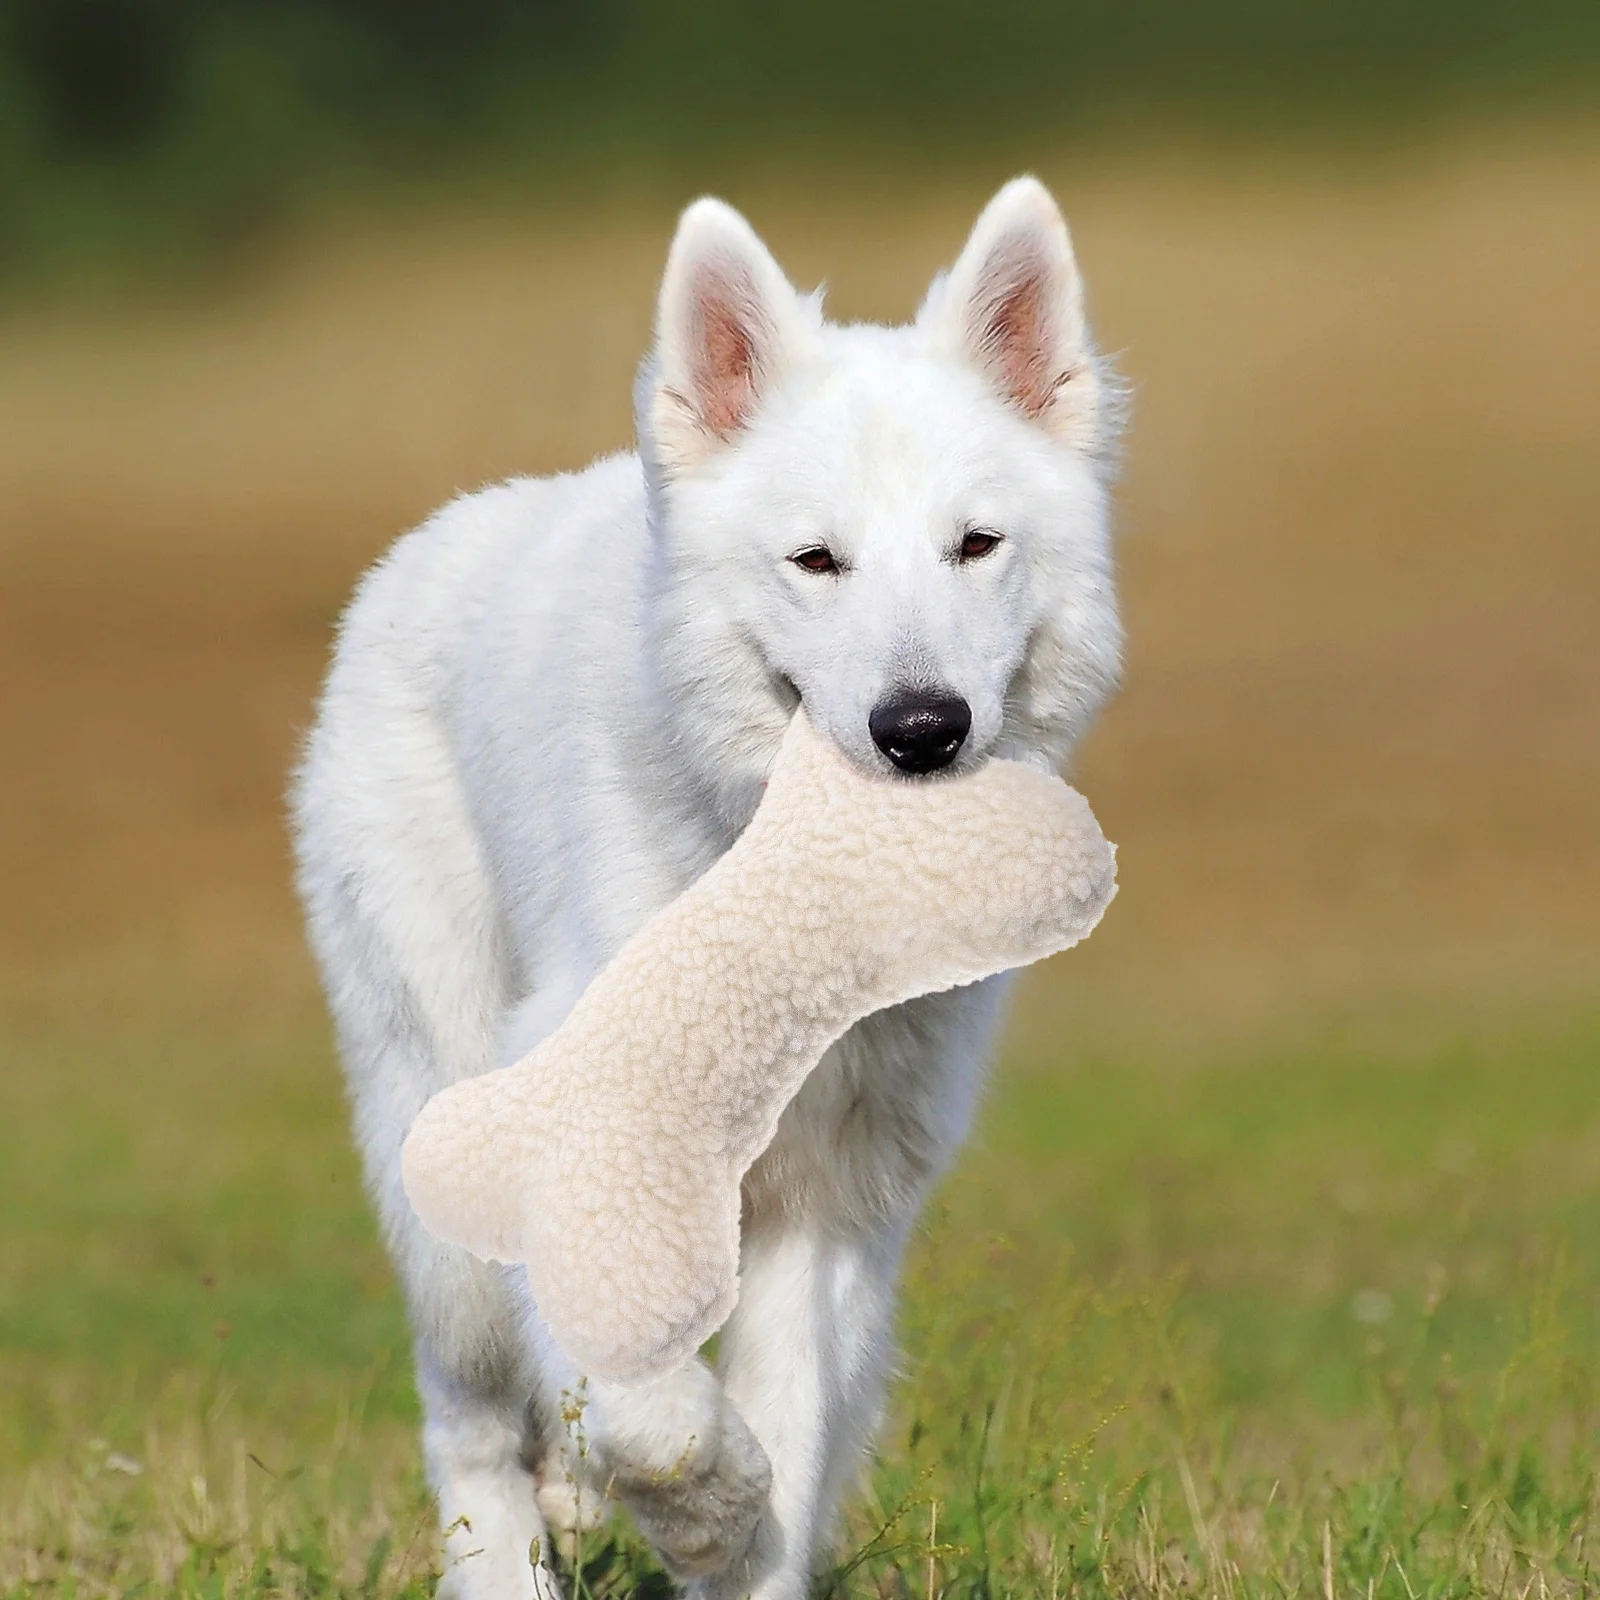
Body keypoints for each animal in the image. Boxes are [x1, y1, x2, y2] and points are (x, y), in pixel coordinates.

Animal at [297, 175, 1126, 1600]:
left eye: (975, 546)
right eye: (815, 562)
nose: (922, 728)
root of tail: (431, 543)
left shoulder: (826, 1204)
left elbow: (776, 1424)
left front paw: (730, 1529)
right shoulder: (590, 1133)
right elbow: (663, 1414)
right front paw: (707, 1508)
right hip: (439, 1162)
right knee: (471, 1422)